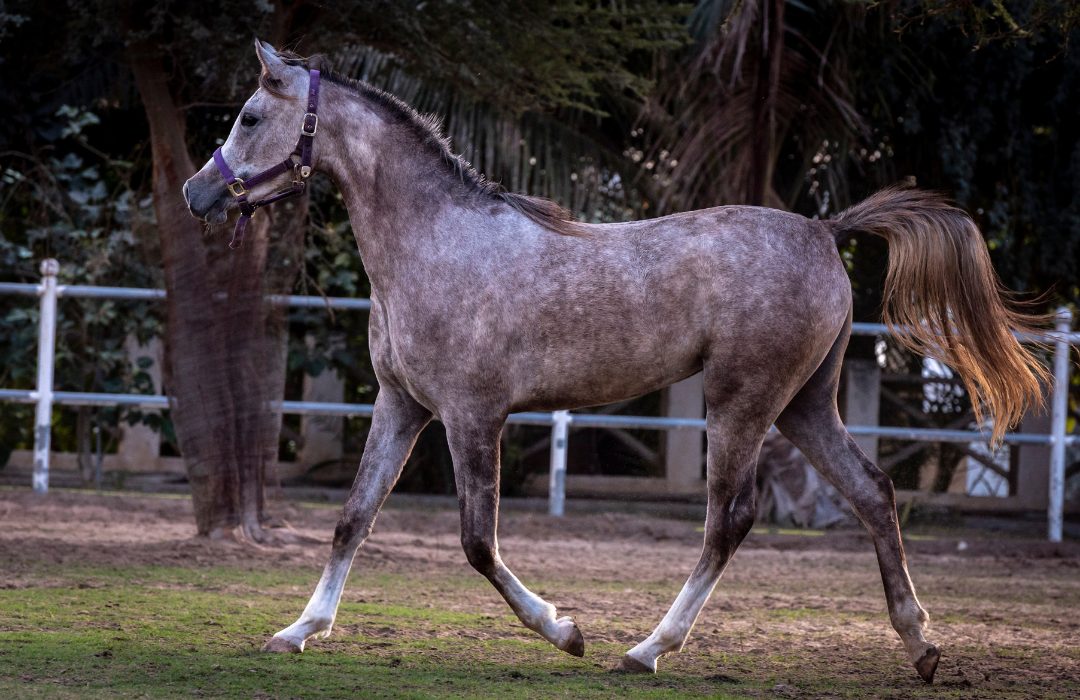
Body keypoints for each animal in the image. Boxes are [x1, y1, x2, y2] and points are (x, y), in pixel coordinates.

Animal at [183, 39, 1045, 682]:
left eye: (251, 115)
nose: (197, 194)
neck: (437, 242)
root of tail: (824, 229)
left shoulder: (472, 414)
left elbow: (477, 542)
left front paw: (565, 630)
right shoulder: (402, 404)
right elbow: (352, 518)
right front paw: (299, 630)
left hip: (741, 401)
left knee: (729, 519)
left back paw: (645, 650)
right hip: (803, 404)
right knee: (872, 493)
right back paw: (921, 646)